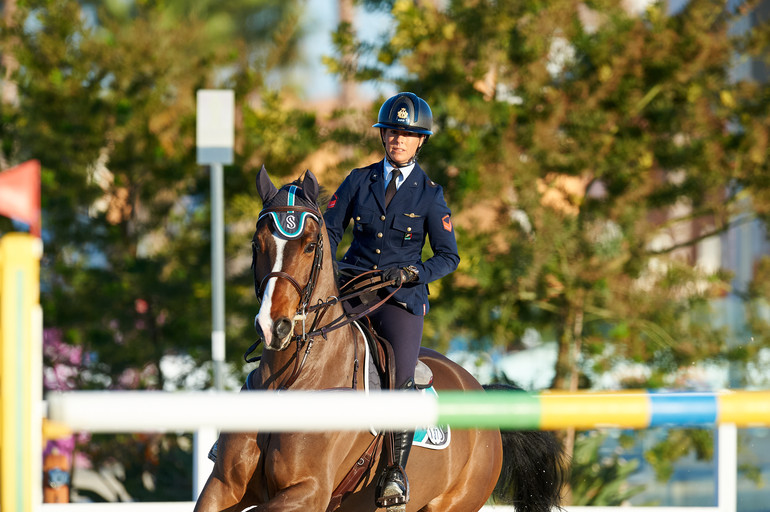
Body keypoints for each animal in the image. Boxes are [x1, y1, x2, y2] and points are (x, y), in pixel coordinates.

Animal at [192, 166, 564, 510]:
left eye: (310, 246)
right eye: (257, 244)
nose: (274, 326)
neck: (294, 377)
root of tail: (479, 391)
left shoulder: (306, 491)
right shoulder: (223, 486)